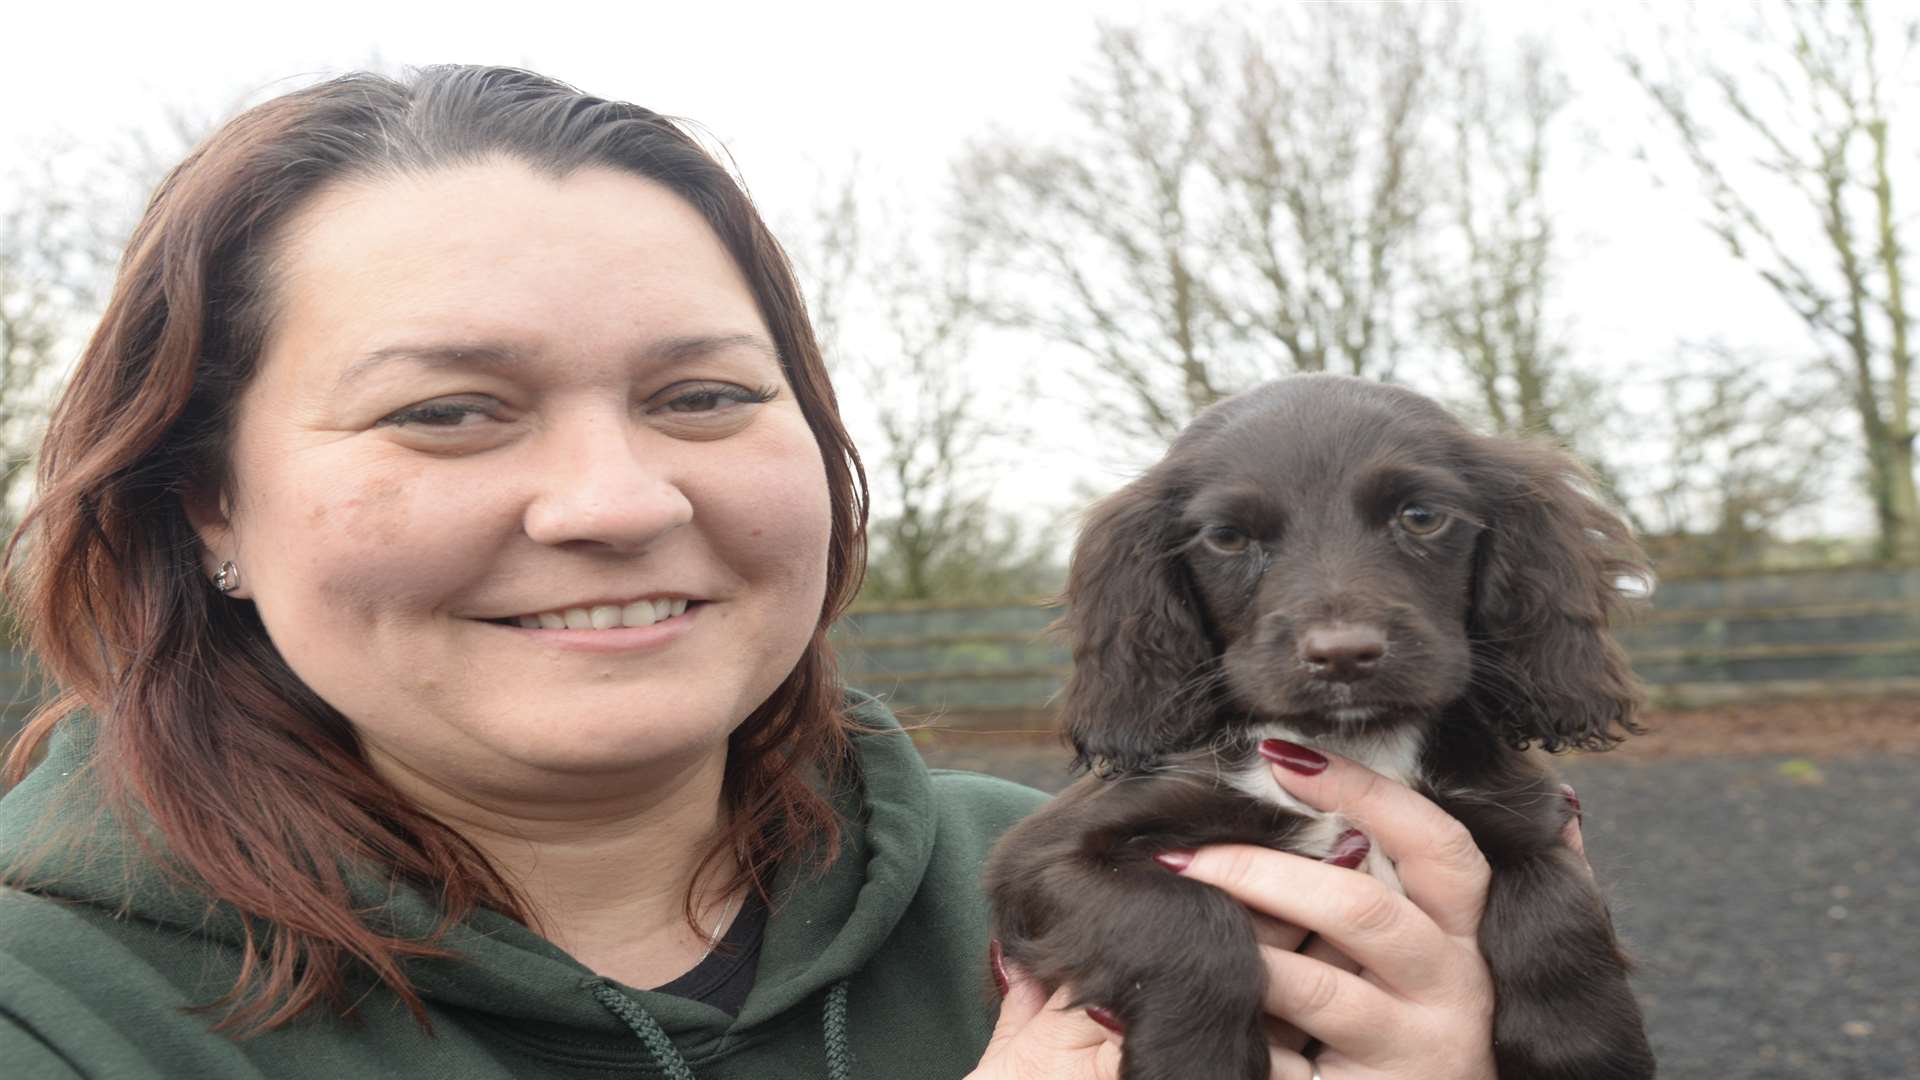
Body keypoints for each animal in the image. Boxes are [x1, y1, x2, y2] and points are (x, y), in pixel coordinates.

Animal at [983, 376, 1658, 1076]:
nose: (1343, 655)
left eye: (1421, 516)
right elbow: (1184, 917)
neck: (1354, 745)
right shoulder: (1039, 859)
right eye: (1227, 538)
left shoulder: (1527, 817)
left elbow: (1557, 907)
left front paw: (1582, 1049)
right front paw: (1197, 1058)